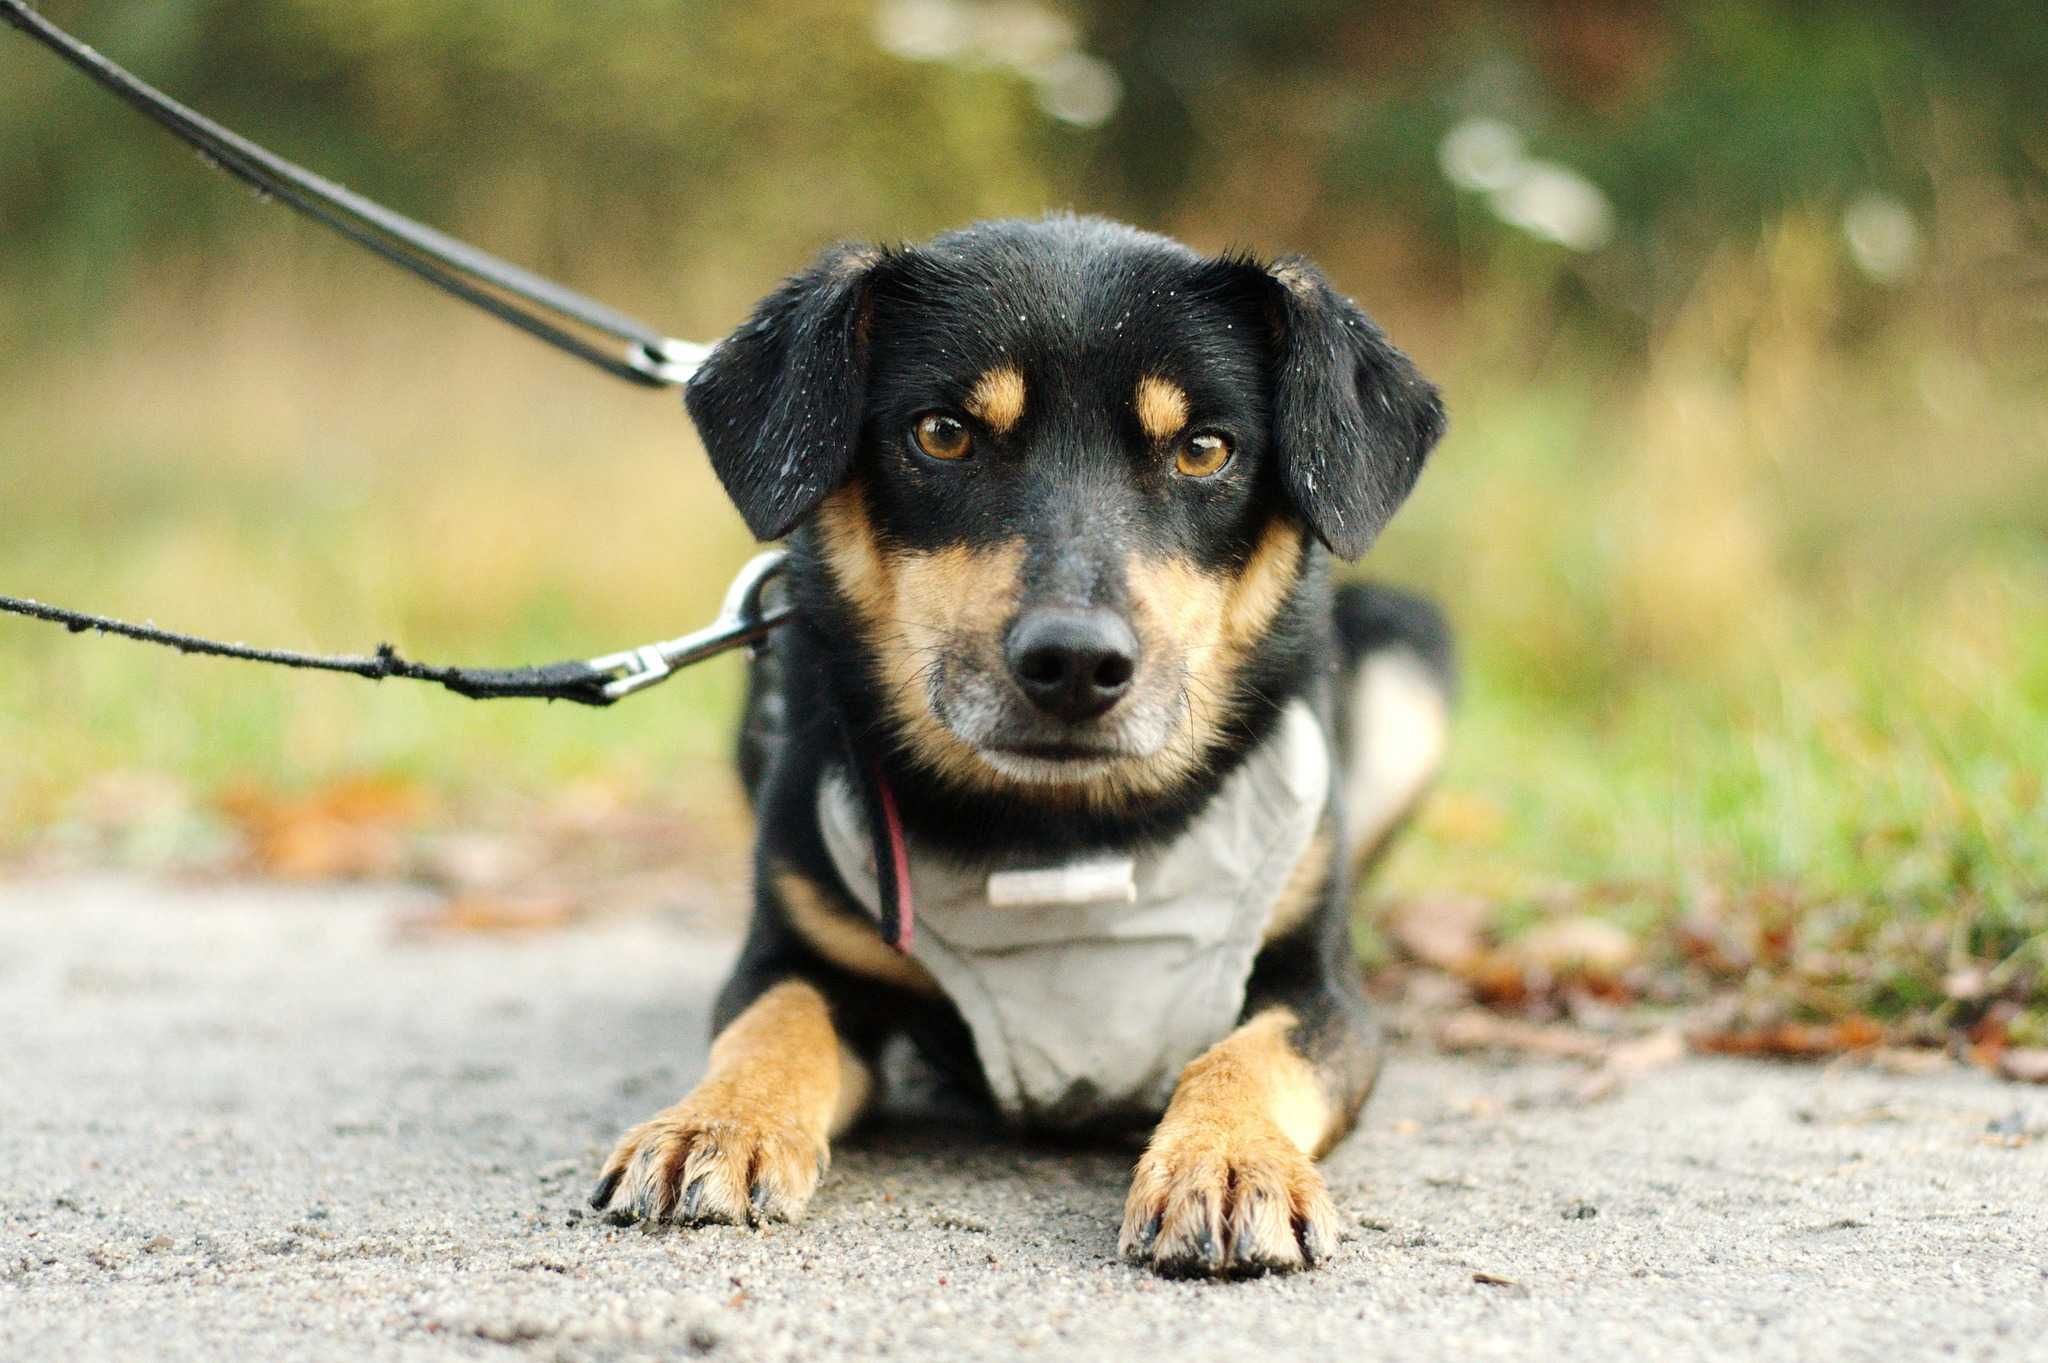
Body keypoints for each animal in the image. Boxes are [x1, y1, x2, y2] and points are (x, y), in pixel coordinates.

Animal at [589, 212, 1458, 1277]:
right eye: (942, 433)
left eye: (1204, 449)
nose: (1075, 663)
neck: (1060, 836)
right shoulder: (799, 955)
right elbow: (770, 1025)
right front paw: (714, 1123)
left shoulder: (1322, 994)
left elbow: (1245, 1053)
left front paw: (1226, 1162)